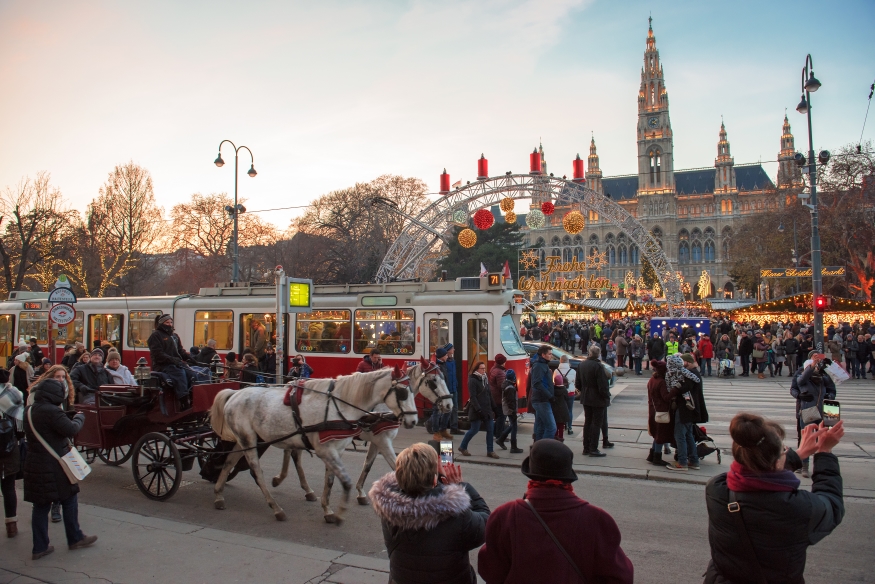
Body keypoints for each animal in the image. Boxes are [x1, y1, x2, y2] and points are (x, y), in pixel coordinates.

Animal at [210, 368, 420, 524]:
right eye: (402, 392)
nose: (413, 420)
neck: (341, 405)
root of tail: (235, 393)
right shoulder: (330, 449)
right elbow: (348, 479)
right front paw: (340, 511)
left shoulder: (338, 449)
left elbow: (332, 479)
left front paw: (327, 509)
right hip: (250, 440)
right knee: (257, 471)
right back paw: (276, 507)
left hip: (246, 439)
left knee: (229, 462)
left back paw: (219, 494)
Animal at [272, 358, 452, 512]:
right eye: (434, 381)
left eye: (444, 378)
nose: (449, 404)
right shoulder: (383, 440)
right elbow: (394, 465)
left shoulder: (377, 441)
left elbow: (367, 465)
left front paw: (361, 492)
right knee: (294, 454)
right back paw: (299, 486)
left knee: (291, 451)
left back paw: (288, 481)